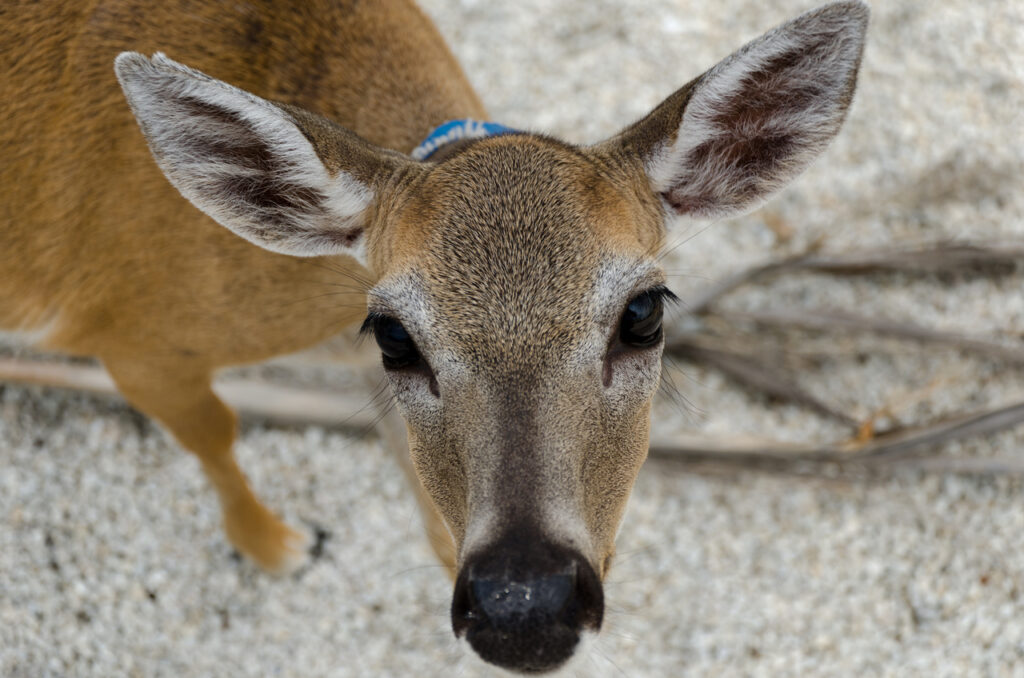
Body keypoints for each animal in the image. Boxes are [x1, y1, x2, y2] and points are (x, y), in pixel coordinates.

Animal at [0, 0, 868, 672]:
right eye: (394, 334)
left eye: (644, 312)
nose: (524, 607)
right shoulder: (132, 332)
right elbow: (214, 433)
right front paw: (280, 547)